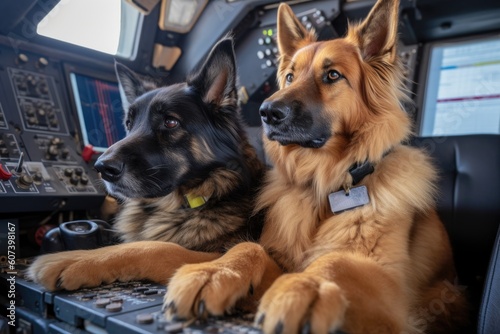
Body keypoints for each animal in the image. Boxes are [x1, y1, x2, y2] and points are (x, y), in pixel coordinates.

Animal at [165, 0, 468, 332]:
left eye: (333, 75)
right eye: (289, 77)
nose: (267, 112)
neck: (325, 185)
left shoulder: (390, 288)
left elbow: (336, 261)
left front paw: (305, 288)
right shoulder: (280, 258)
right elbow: (249, 247)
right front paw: (214, 272)